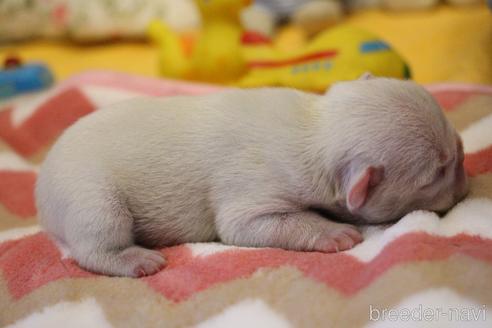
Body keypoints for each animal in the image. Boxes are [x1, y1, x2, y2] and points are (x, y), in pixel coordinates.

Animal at [35, 75, 468, 276]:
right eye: (437, 171)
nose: (465, 157)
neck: (315, 127)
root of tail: (41, 192)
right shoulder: (255, 187)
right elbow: (246, 224)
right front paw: (334, 233)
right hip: (88, 194)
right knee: (94, 243)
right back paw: (134, 259)